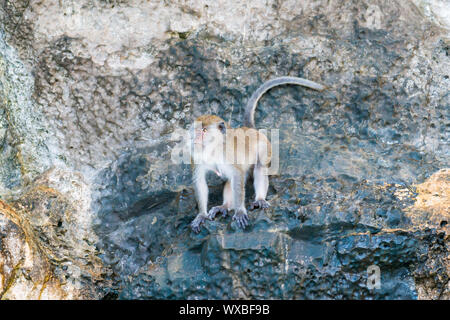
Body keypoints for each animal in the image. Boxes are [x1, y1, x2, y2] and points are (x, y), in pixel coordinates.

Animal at [189, 77, 324, 232]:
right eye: (196, 130)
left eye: (204, 130)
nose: (195, 138)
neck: (213, 148)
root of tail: (250, 129)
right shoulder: (196, 156)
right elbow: (200, 181)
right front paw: (201, 215)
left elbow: (237, 176)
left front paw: (240, 211)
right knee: (231, 179)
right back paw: (225, 206)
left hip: (264, 146)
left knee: (258, 169)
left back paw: (259, 199)